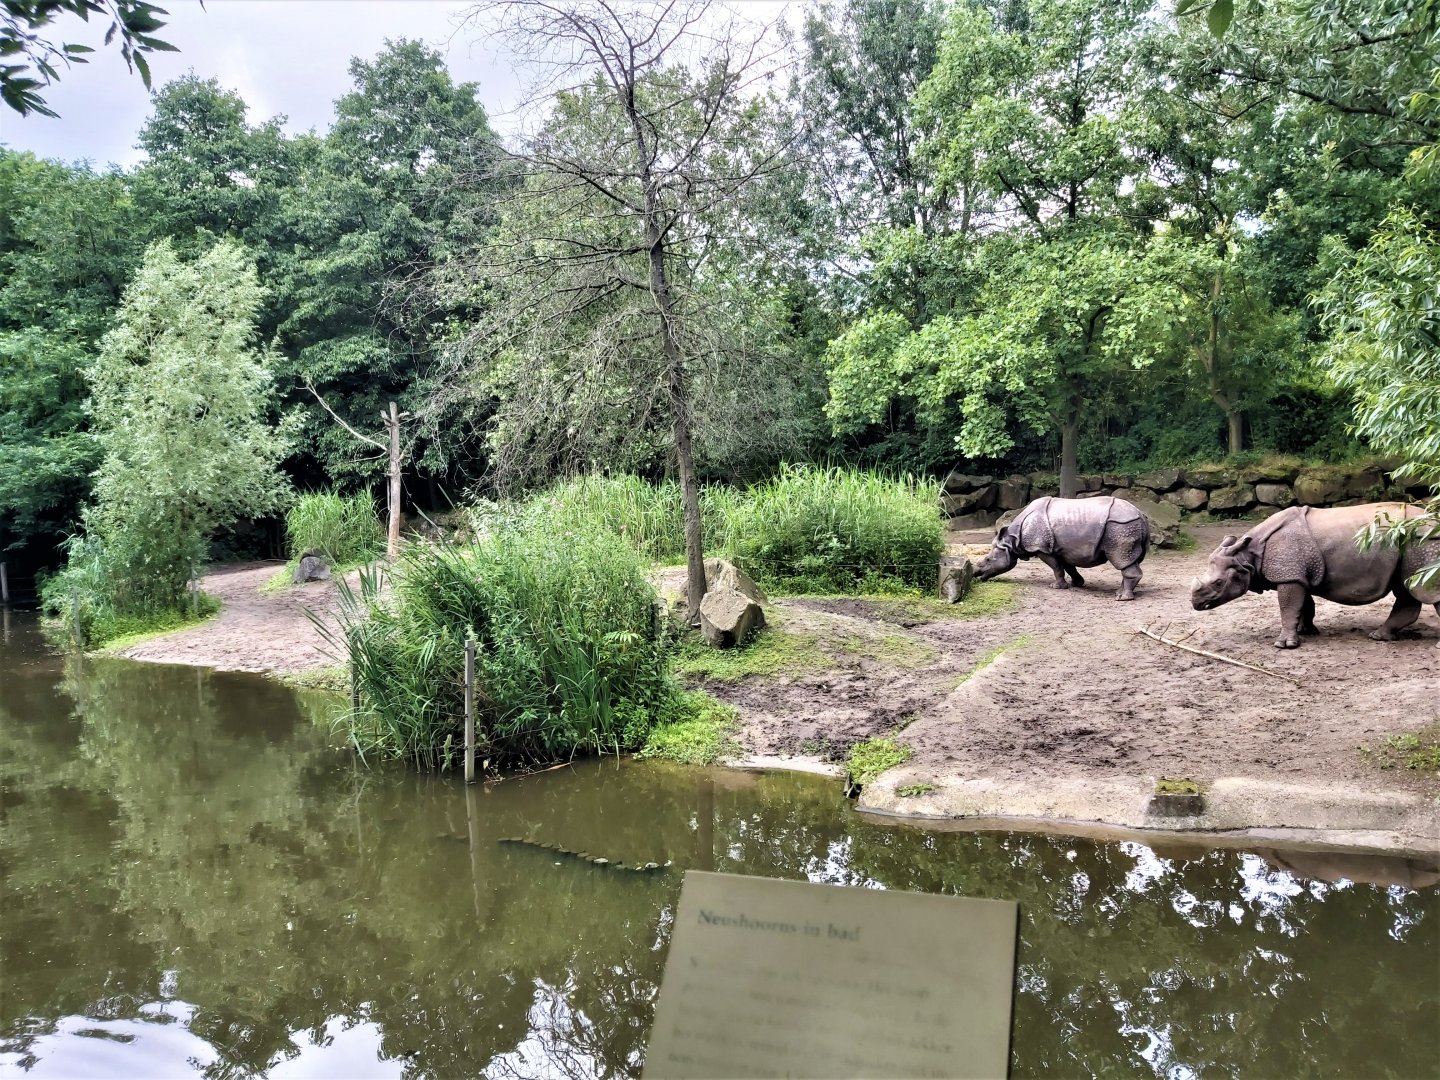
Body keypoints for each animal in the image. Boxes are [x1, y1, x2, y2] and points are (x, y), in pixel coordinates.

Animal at [976, 496, 1151, 600]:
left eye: (988, 559)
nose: (977, 575)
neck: (1012, 540)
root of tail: (1142, 514)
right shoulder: (1063, 549)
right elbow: (1068, 566)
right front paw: (1077, 583)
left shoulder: (1042, 547)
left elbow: (1056, 567)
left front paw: (1056, 587)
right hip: (1125, 525)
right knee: (1128, 561)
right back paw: (1119, 593)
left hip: (1121, 526)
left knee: (1121, 558)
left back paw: (1123, 598)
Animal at [1190, 503, 1440, 648]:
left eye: (1219, 583)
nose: (1195, 603)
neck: (1248, 555)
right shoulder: (1298, 574)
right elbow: (1303, 604)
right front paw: (1306, 632)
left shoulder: (1289, 575)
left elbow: (1288, 606)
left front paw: (1284, 645)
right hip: (1409, 545)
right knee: (1405, 588)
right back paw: (1379, 637)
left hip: (1424, 541)